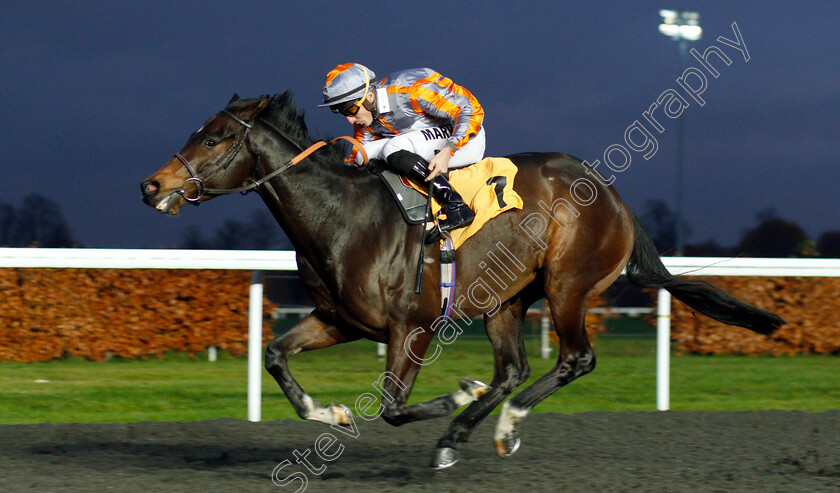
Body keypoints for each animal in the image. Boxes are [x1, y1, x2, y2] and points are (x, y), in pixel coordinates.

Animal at [139, 93, 788, 468]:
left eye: (215, 137)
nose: (151, 185)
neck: (342, 214)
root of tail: (614, 196)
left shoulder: (414, 326)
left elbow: (393, 407)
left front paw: (455, 394)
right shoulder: (340, 320)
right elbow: (276, 355)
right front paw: (334, 414)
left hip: (567, 286)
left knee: (574, 360)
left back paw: (498, 422)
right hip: (508, 299)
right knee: (514, 369)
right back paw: (463, 433)